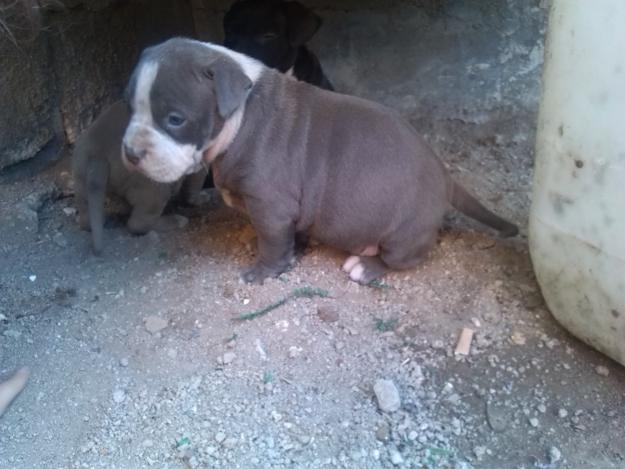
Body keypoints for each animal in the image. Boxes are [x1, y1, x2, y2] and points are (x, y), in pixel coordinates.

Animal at [71, 98, 206, 252]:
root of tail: (98, 153)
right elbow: (196, 180)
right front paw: (198, 199)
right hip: (153, 184)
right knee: (138, 223)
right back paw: (175, 221)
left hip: (80, 173)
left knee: (86, 213)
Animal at [120, 39, 516, 282]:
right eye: (129, 106)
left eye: (175, 119)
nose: (130, 153)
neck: (238, 114)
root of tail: (446, 176)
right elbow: (288, 234)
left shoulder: (271, 205)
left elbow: (272, 241)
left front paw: (263, 270)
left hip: (405, 233)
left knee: (405, 258)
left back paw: (366, 267)